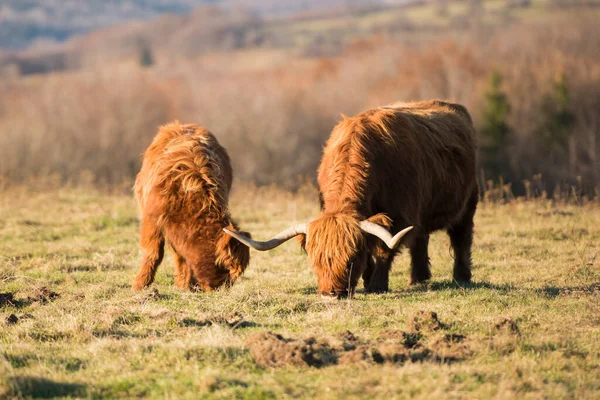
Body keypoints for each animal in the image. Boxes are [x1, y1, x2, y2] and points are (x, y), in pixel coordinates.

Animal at [131, 121, 251, 290]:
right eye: (226, 266)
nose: (222, 288)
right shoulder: (153, 217)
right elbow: (153, 252)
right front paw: (140, 284)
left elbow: (181, 254)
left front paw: (184, 285)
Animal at [225, 101, 478, 298]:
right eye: (316, 261)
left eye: (351, 259)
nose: (331, 294)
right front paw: (367, 281)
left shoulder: (401, 214)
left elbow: (384, 248)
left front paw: (377, 285)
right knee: (420, 239)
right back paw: (419, 280)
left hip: (467, 203)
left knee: (461, 238)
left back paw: (461, 278)